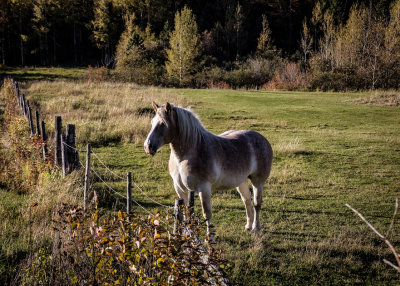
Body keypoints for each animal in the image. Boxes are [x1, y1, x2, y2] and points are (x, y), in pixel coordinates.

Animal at [144, 101, 272, 237]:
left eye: (163, 124)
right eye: (152, 122)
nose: (148, 147)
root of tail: (262, 139)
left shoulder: (204, 188)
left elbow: (207, 214)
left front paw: (209, 238)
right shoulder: (180, 189)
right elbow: (186, 212)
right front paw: (187, 235)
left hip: (257, 181)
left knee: (257, 204)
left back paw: (255, 229)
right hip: (241, 181)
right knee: (246, 200)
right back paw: (248, 226)